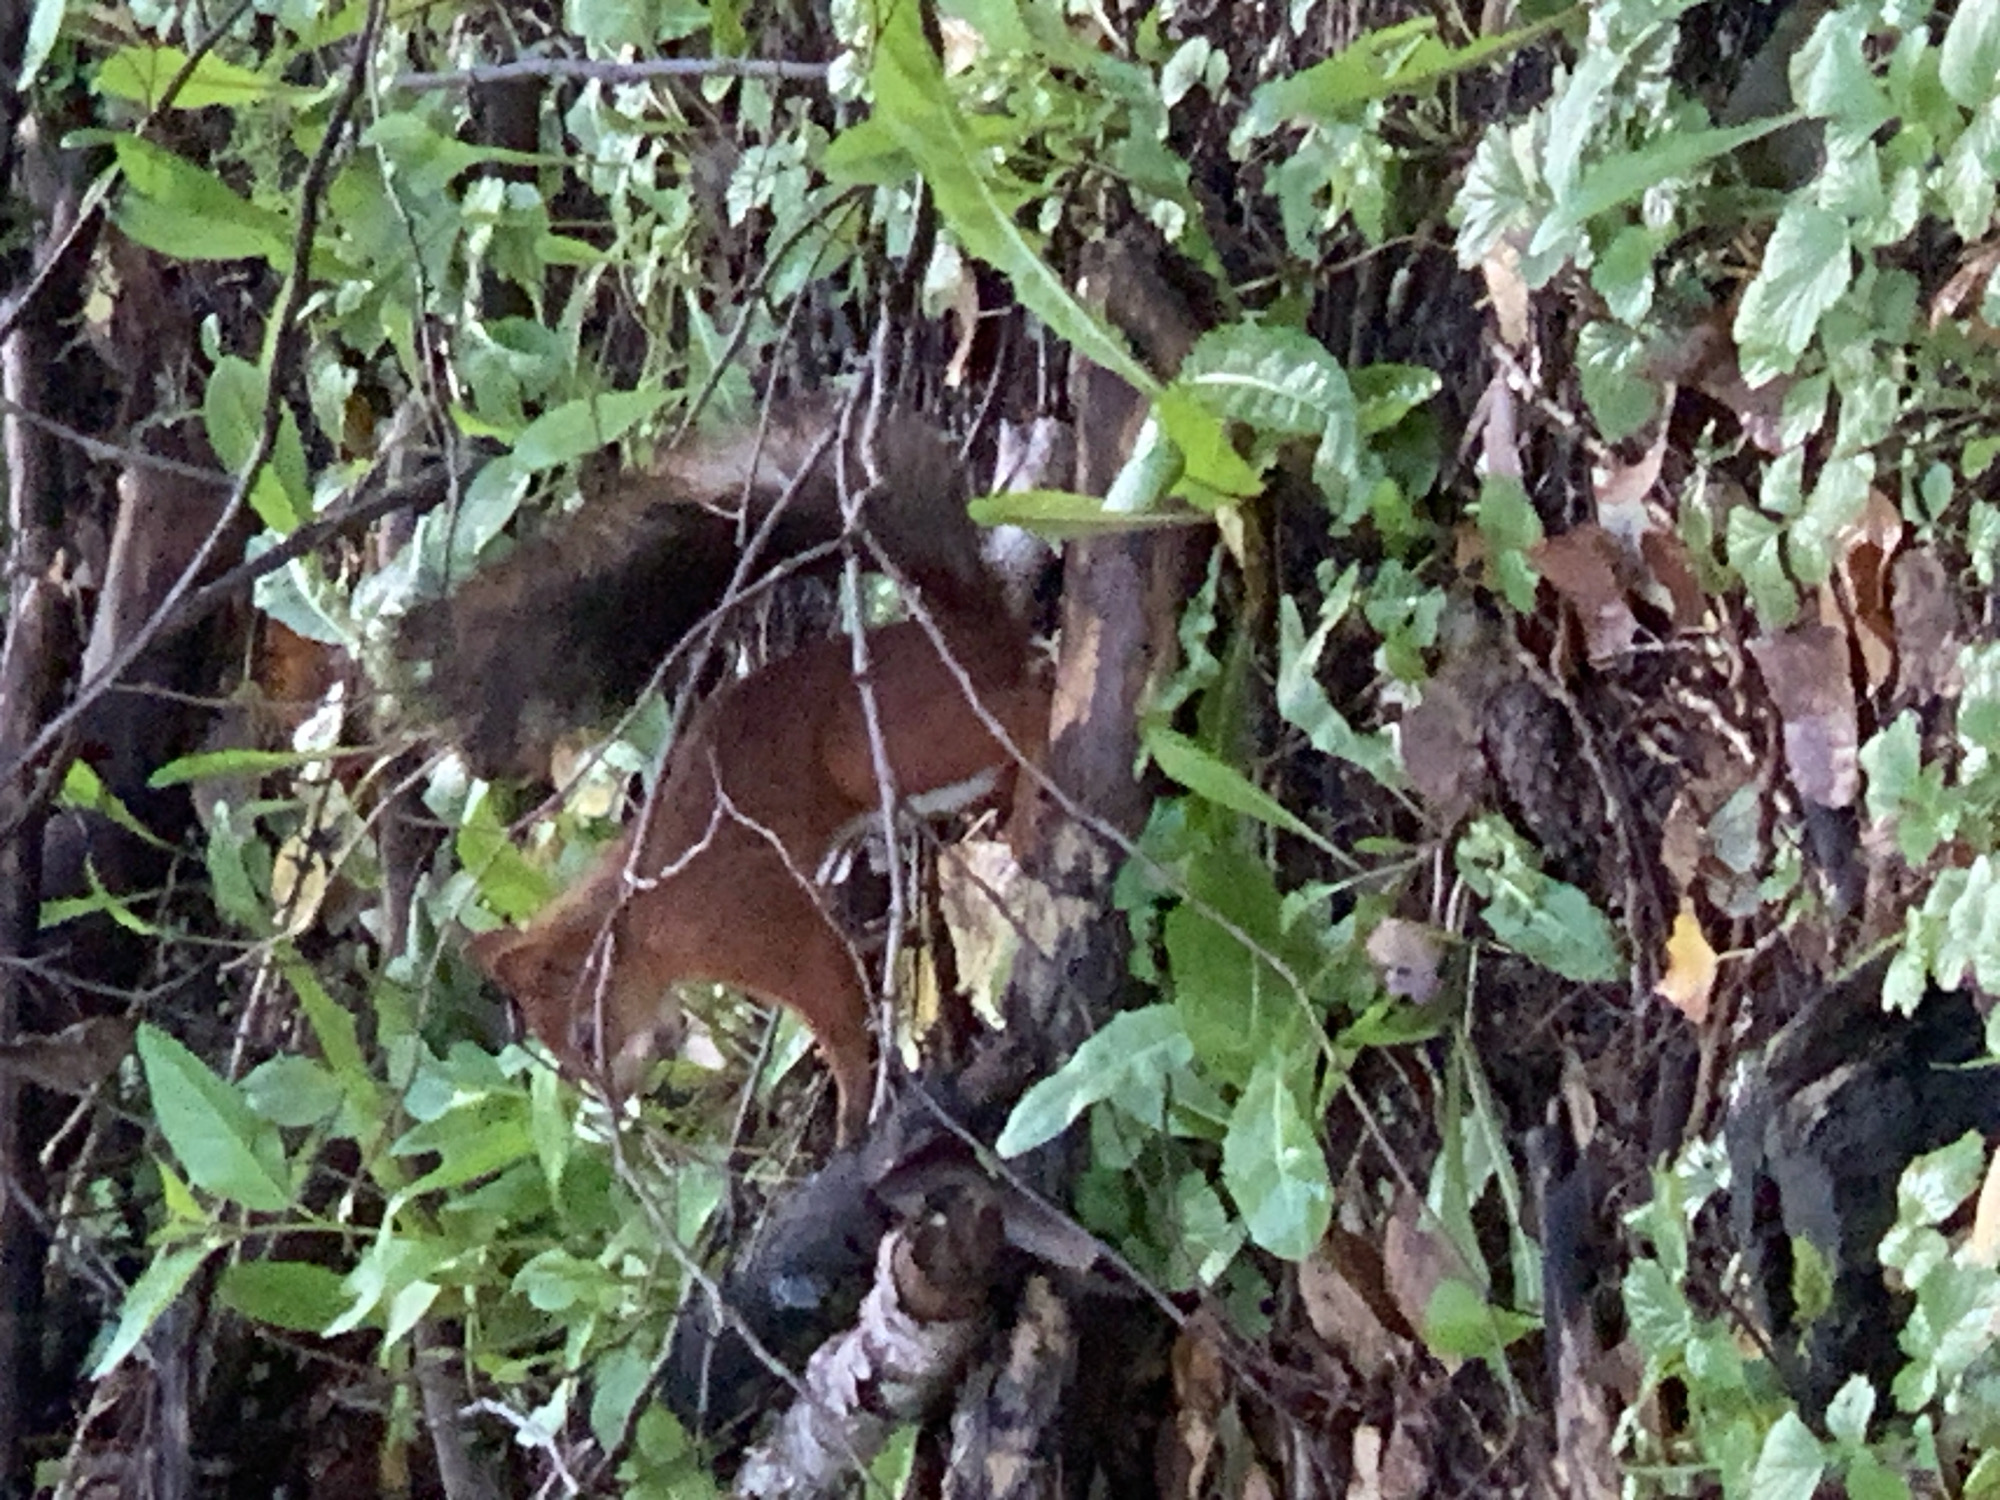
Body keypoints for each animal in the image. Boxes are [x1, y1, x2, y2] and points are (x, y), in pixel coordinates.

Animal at [408, 404, 1051, 1143]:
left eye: (585, 1035)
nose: (613, 1103)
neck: (640, 919)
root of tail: (968, 630)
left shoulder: (751, 927)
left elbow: (834, 1005)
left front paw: (853, 1117)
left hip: (881, 744)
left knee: (1034, 699)